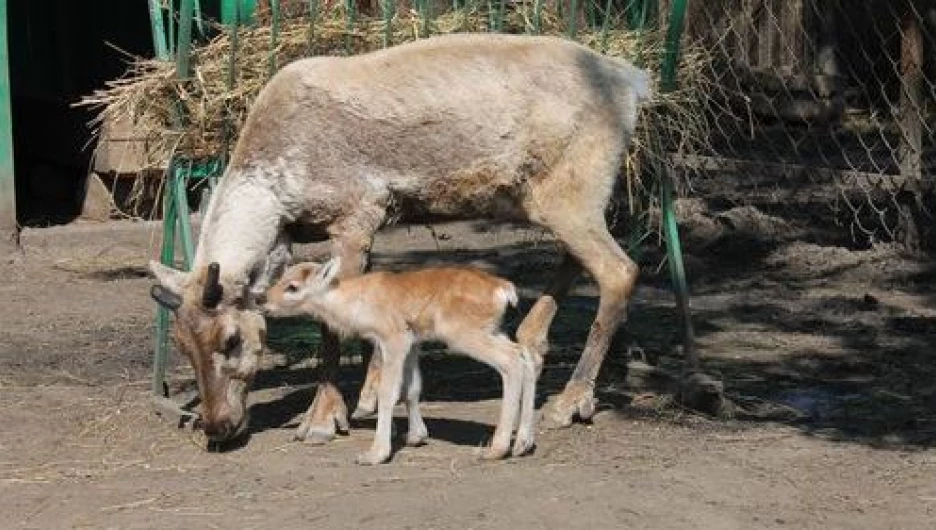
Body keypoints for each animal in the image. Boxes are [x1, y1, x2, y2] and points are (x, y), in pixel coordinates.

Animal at [264, 258, 540, 464]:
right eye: (280, 278)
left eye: (293, 286)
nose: (263, 302)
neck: (355, 302)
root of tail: (504, 289)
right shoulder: (413, 344)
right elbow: (412, 388)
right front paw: (416, 437)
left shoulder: (393, 340)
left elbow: (388, 392)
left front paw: (374, 454)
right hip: (494, 331)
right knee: (527, 356)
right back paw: (522, 444)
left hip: (465, 336)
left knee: (511, 362)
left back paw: (496, 450)